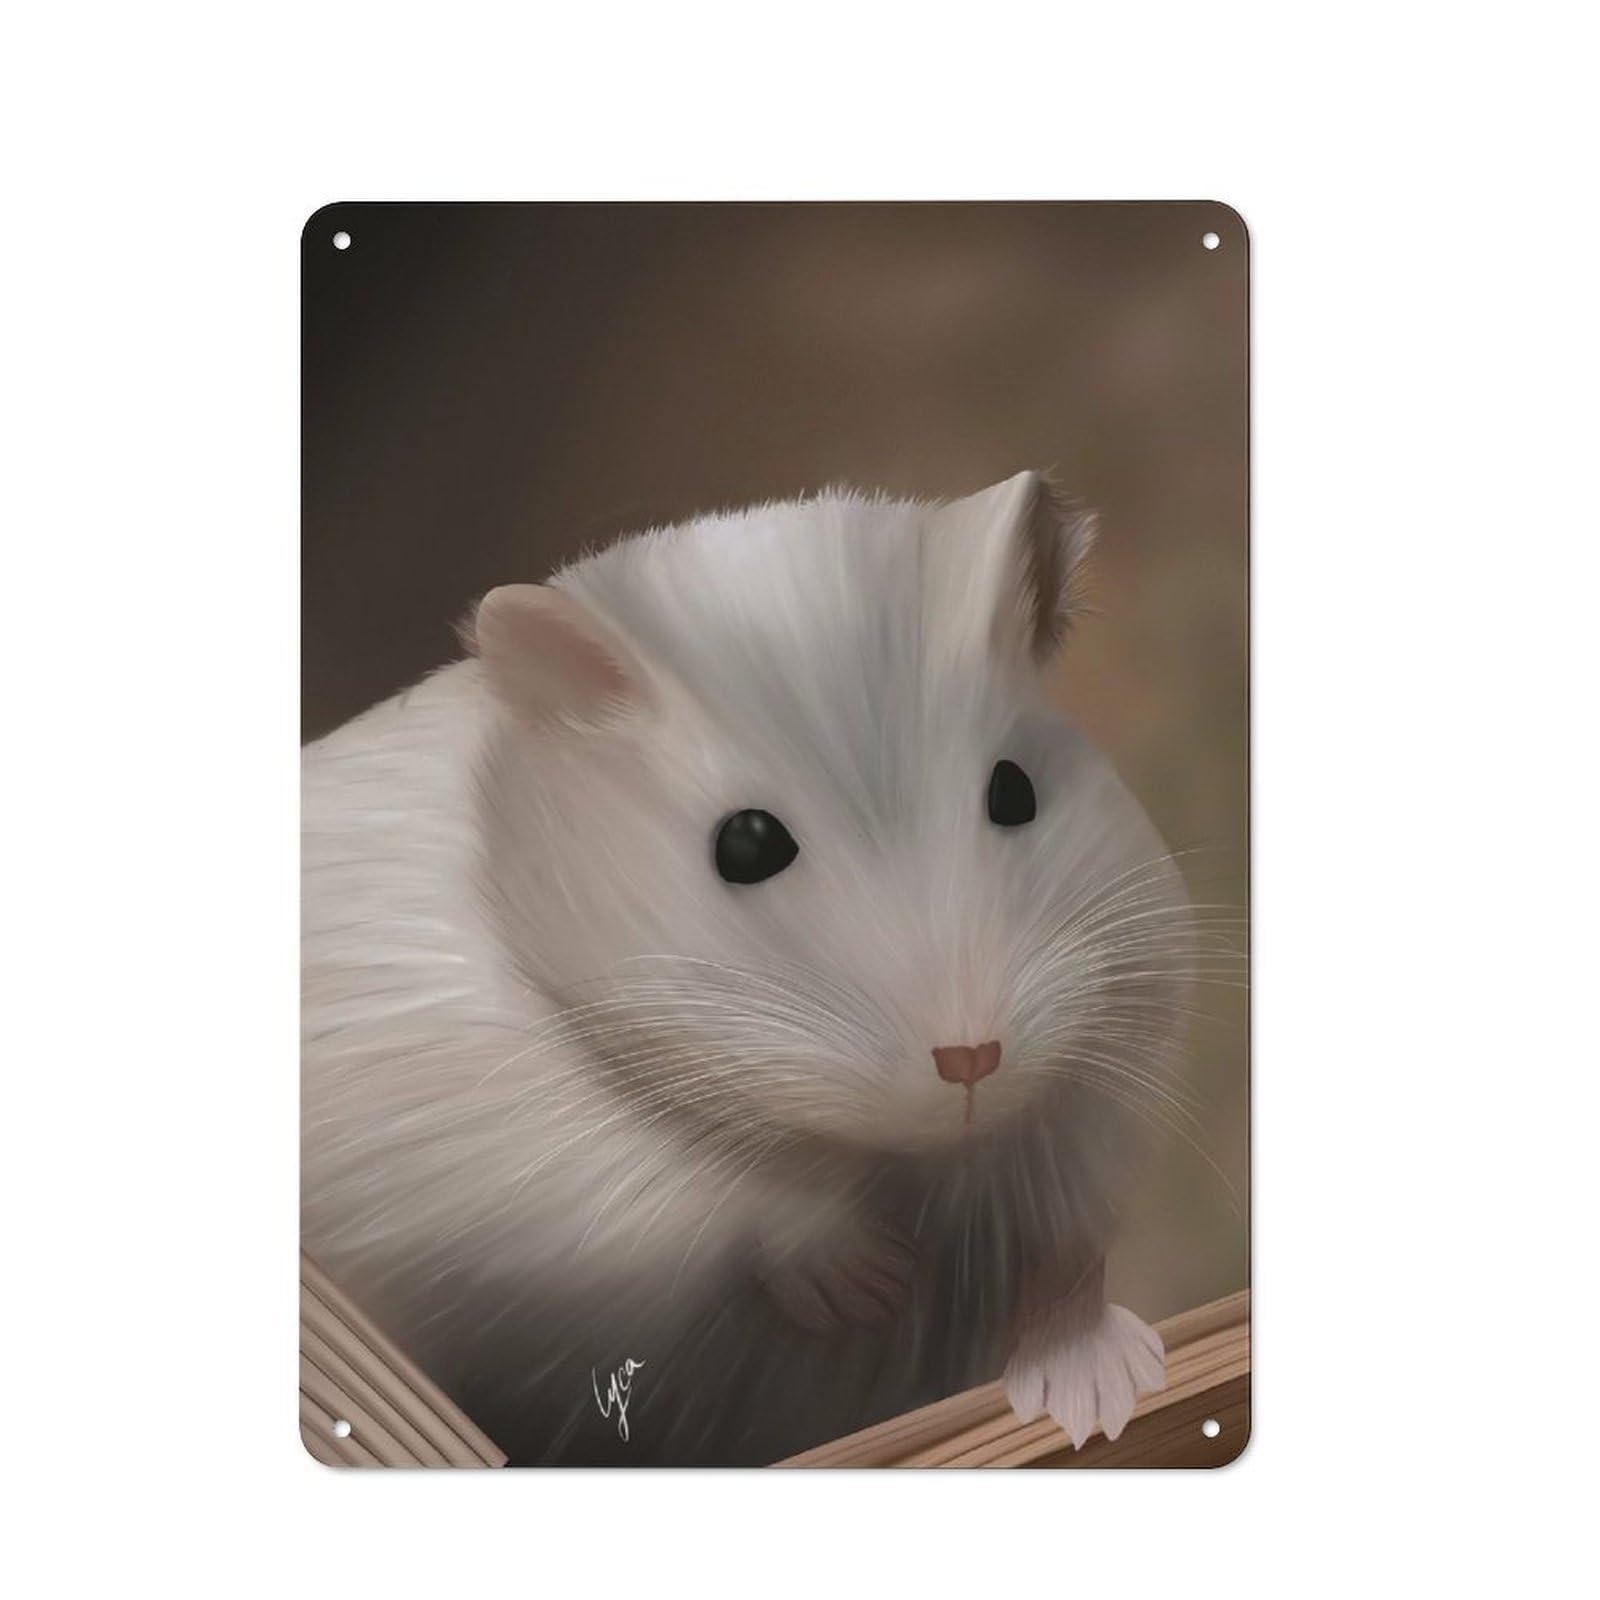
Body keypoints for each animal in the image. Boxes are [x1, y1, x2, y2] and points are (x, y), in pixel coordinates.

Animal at [301, 470, 1193, 1465]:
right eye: (747, 843)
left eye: (1015, 789)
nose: (972, 1063)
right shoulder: (530, 1152)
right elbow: (714, 1185)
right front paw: (869, 1284)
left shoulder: (1113, 1056)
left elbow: (1066, 1249)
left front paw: (1101, 1397)